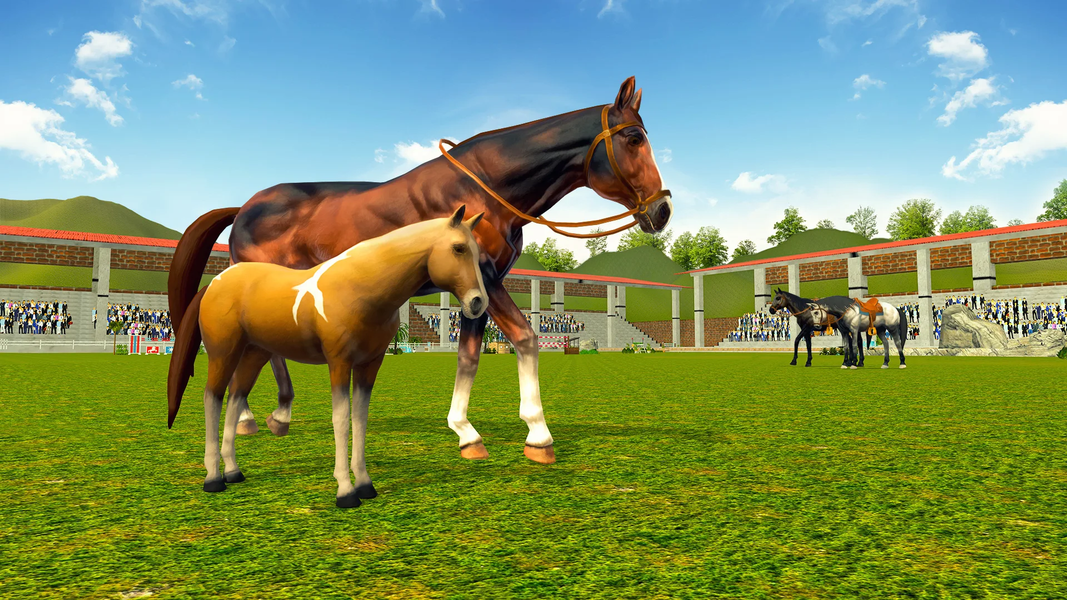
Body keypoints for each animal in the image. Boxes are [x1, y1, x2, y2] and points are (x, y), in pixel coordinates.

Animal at [167, 76, 671, 466]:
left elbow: (470, 356)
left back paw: (274, 416)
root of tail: (244, 207)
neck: (484, 189)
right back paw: (256, 418)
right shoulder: (487, 279)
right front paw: (537, 436)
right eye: (633, 139)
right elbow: (526, 337)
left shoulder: (479, 288)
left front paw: (468, 433)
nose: (661, 210)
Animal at [167, 207, 488, 508]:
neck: (361, 287)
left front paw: (365, 484)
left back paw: (233, 471)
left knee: (235, 399)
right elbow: (341, 419)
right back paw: (213, 478)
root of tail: (215, 283)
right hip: (223, 353)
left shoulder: (369, 365)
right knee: (213, 398)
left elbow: (360, 419)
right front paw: (345, 491)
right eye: (458, 248)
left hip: (253, 355)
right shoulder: (339, 363)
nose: (477, 303)